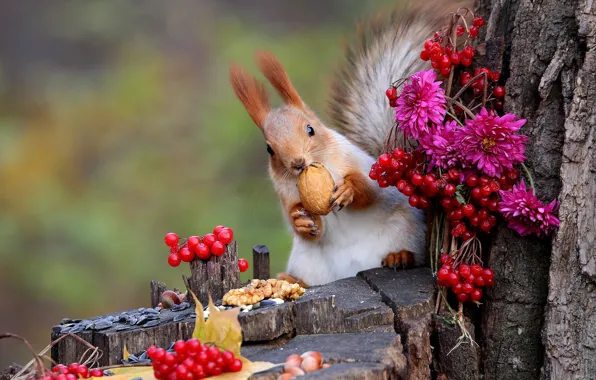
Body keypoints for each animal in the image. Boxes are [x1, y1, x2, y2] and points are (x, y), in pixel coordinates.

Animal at [227, 0, 470, 284]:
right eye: (270, 149)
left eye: (310, 129)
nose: (298, 163)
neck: (321, 166)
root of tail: (353, 271)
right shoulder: (285, 193)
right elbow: (300, 222)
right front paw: (300, 220)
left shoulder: (361, 164)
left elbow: (371, 191)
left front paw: (348, 190)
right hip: (309, 262)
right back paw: (292, 280)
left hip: (408, 230)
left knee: (413, 254)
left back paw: (400, 256)